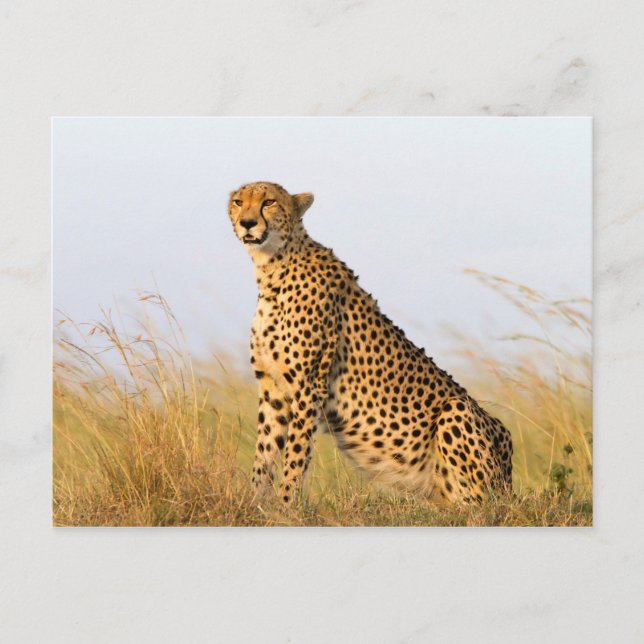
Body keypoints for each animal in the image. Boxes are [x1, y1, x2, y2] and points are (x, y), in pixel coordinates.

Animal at [227, 181, 513, 505]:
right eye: (238, 202)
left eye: (269, 202)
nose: (247, 223)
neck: (272, 267)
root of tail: (509, 481)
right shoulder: (272, 388)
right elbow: (265, 452)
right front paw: (253, 502)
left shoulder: (308, 386)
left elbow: (296, 454)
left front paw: (286, 505)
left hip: (457, 413)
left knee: (480, 504)